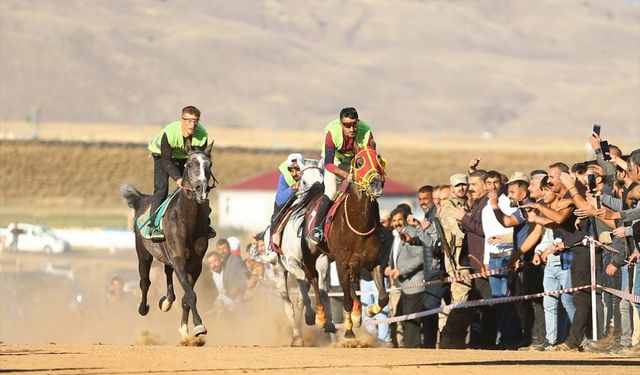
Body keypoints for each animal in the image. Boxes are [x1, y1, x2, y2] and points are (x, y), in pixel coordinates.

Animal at [304, 147, 390, 340]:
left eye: (379, 159)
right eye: (359, 162)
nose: (376, 183)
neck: (359, 224)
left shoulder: (374, 262)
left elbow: (383, 297)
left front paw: (370, 311)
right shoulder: (342, 263)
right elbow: (346, 301)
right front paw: (349, 331)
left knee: (350, 285)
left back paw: (358, 315)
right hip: (313, 257)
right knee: (314, 279)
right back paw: (321, 317)